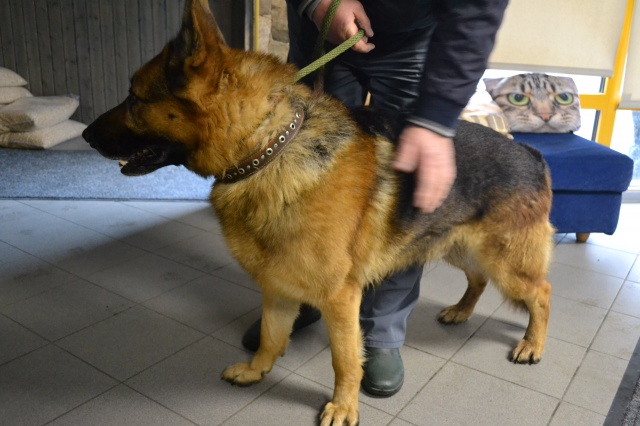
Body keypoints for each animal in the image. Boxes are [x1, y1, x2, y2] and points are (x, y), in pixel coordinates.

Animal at [82, 1, 554, 424]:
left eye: (134, 99)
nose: (85, 134)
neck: (268, 151)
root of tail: (531, 154)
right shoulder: (276, 286)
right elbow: (270, 337)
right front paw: (256, 370)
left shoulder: (341, 298)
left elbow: (345, 361)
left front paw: (344, 406)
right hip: (458, 246)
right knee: (478, 280)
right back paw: (460, 311)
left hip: (503, 261)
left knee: (541, 293)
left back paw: (532, 344)